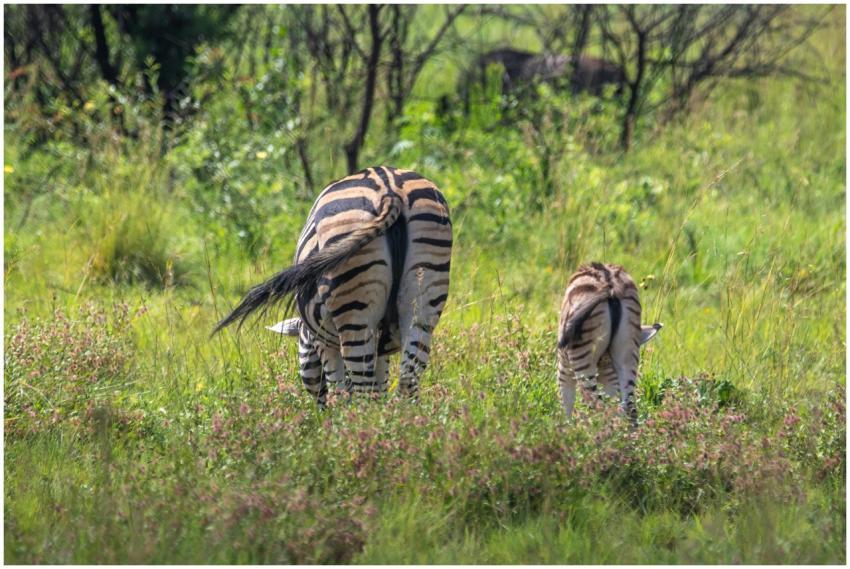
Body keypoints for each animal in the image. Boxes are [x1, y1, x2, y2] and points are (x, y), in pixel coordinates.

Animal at [214, 166, 452, 406]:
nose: (320, 410)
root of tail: (389, 189)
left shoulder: (322, 341)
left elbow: (340, 390)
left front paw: (339, 415)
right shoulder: (381, 346)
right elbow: (380, 385)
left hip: (354, 310)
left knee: (364, 392)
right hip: (424, 296)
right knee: (407, 382)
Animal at [557, 262, 662, 423]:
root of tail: (610, 285)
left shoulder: (564, 367)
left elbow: (567, 405)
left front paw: (566, 428)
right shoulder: (610, 378)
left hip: (581, 354)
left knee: (596, 405)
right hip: (627, 351)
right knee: (629, 407)